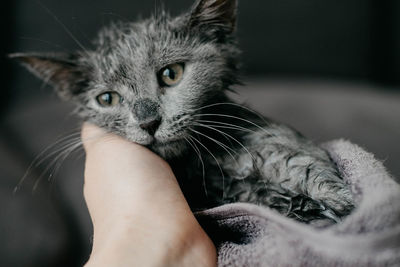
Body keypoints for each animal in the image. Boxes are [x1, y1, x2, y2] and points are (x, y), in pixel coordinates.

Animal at [10, 0, 354, 226]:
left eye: (171, 74)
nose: (148, 122)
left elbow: (304, 166)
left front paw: (339, 203)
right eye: (107, 99)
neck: (208, 161)